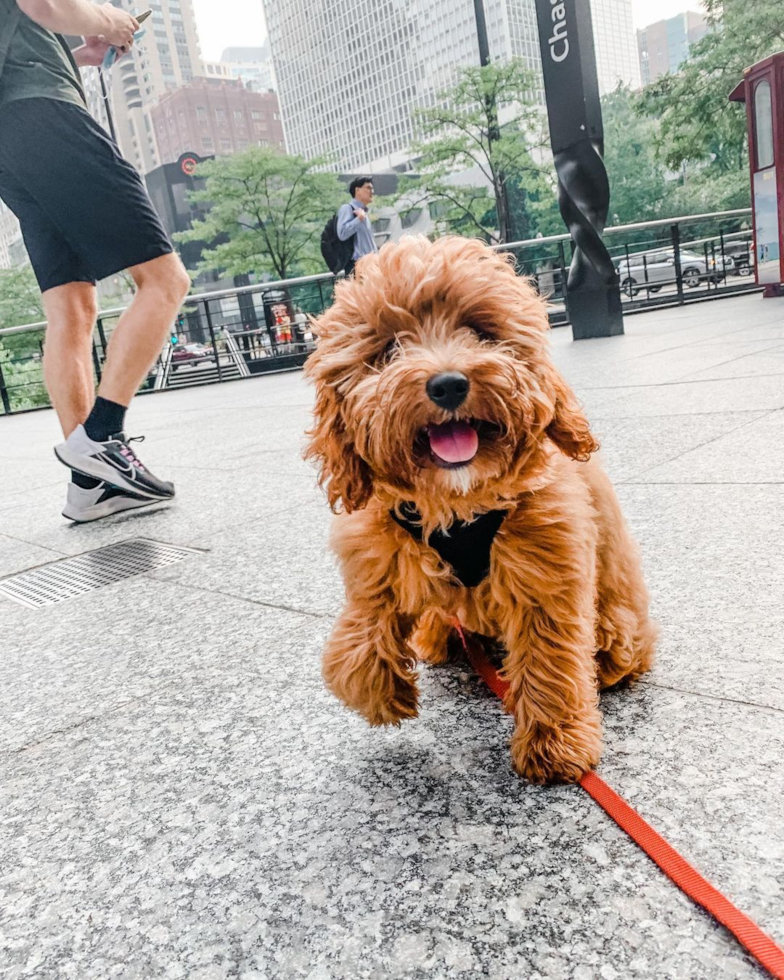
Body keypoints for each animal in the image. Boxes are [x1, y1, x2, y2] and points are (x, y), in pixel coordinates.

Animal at [306, 235, 656, 780]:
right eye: (388, 349)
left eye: (480, 332)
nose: (448, 384)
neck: (458, 505)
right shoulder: (380, 559)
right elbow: (353, 645)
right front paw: (385, 694)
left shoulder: (548, 580)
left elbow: (551, 661)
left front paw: (554, 742)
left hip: (617, 626)